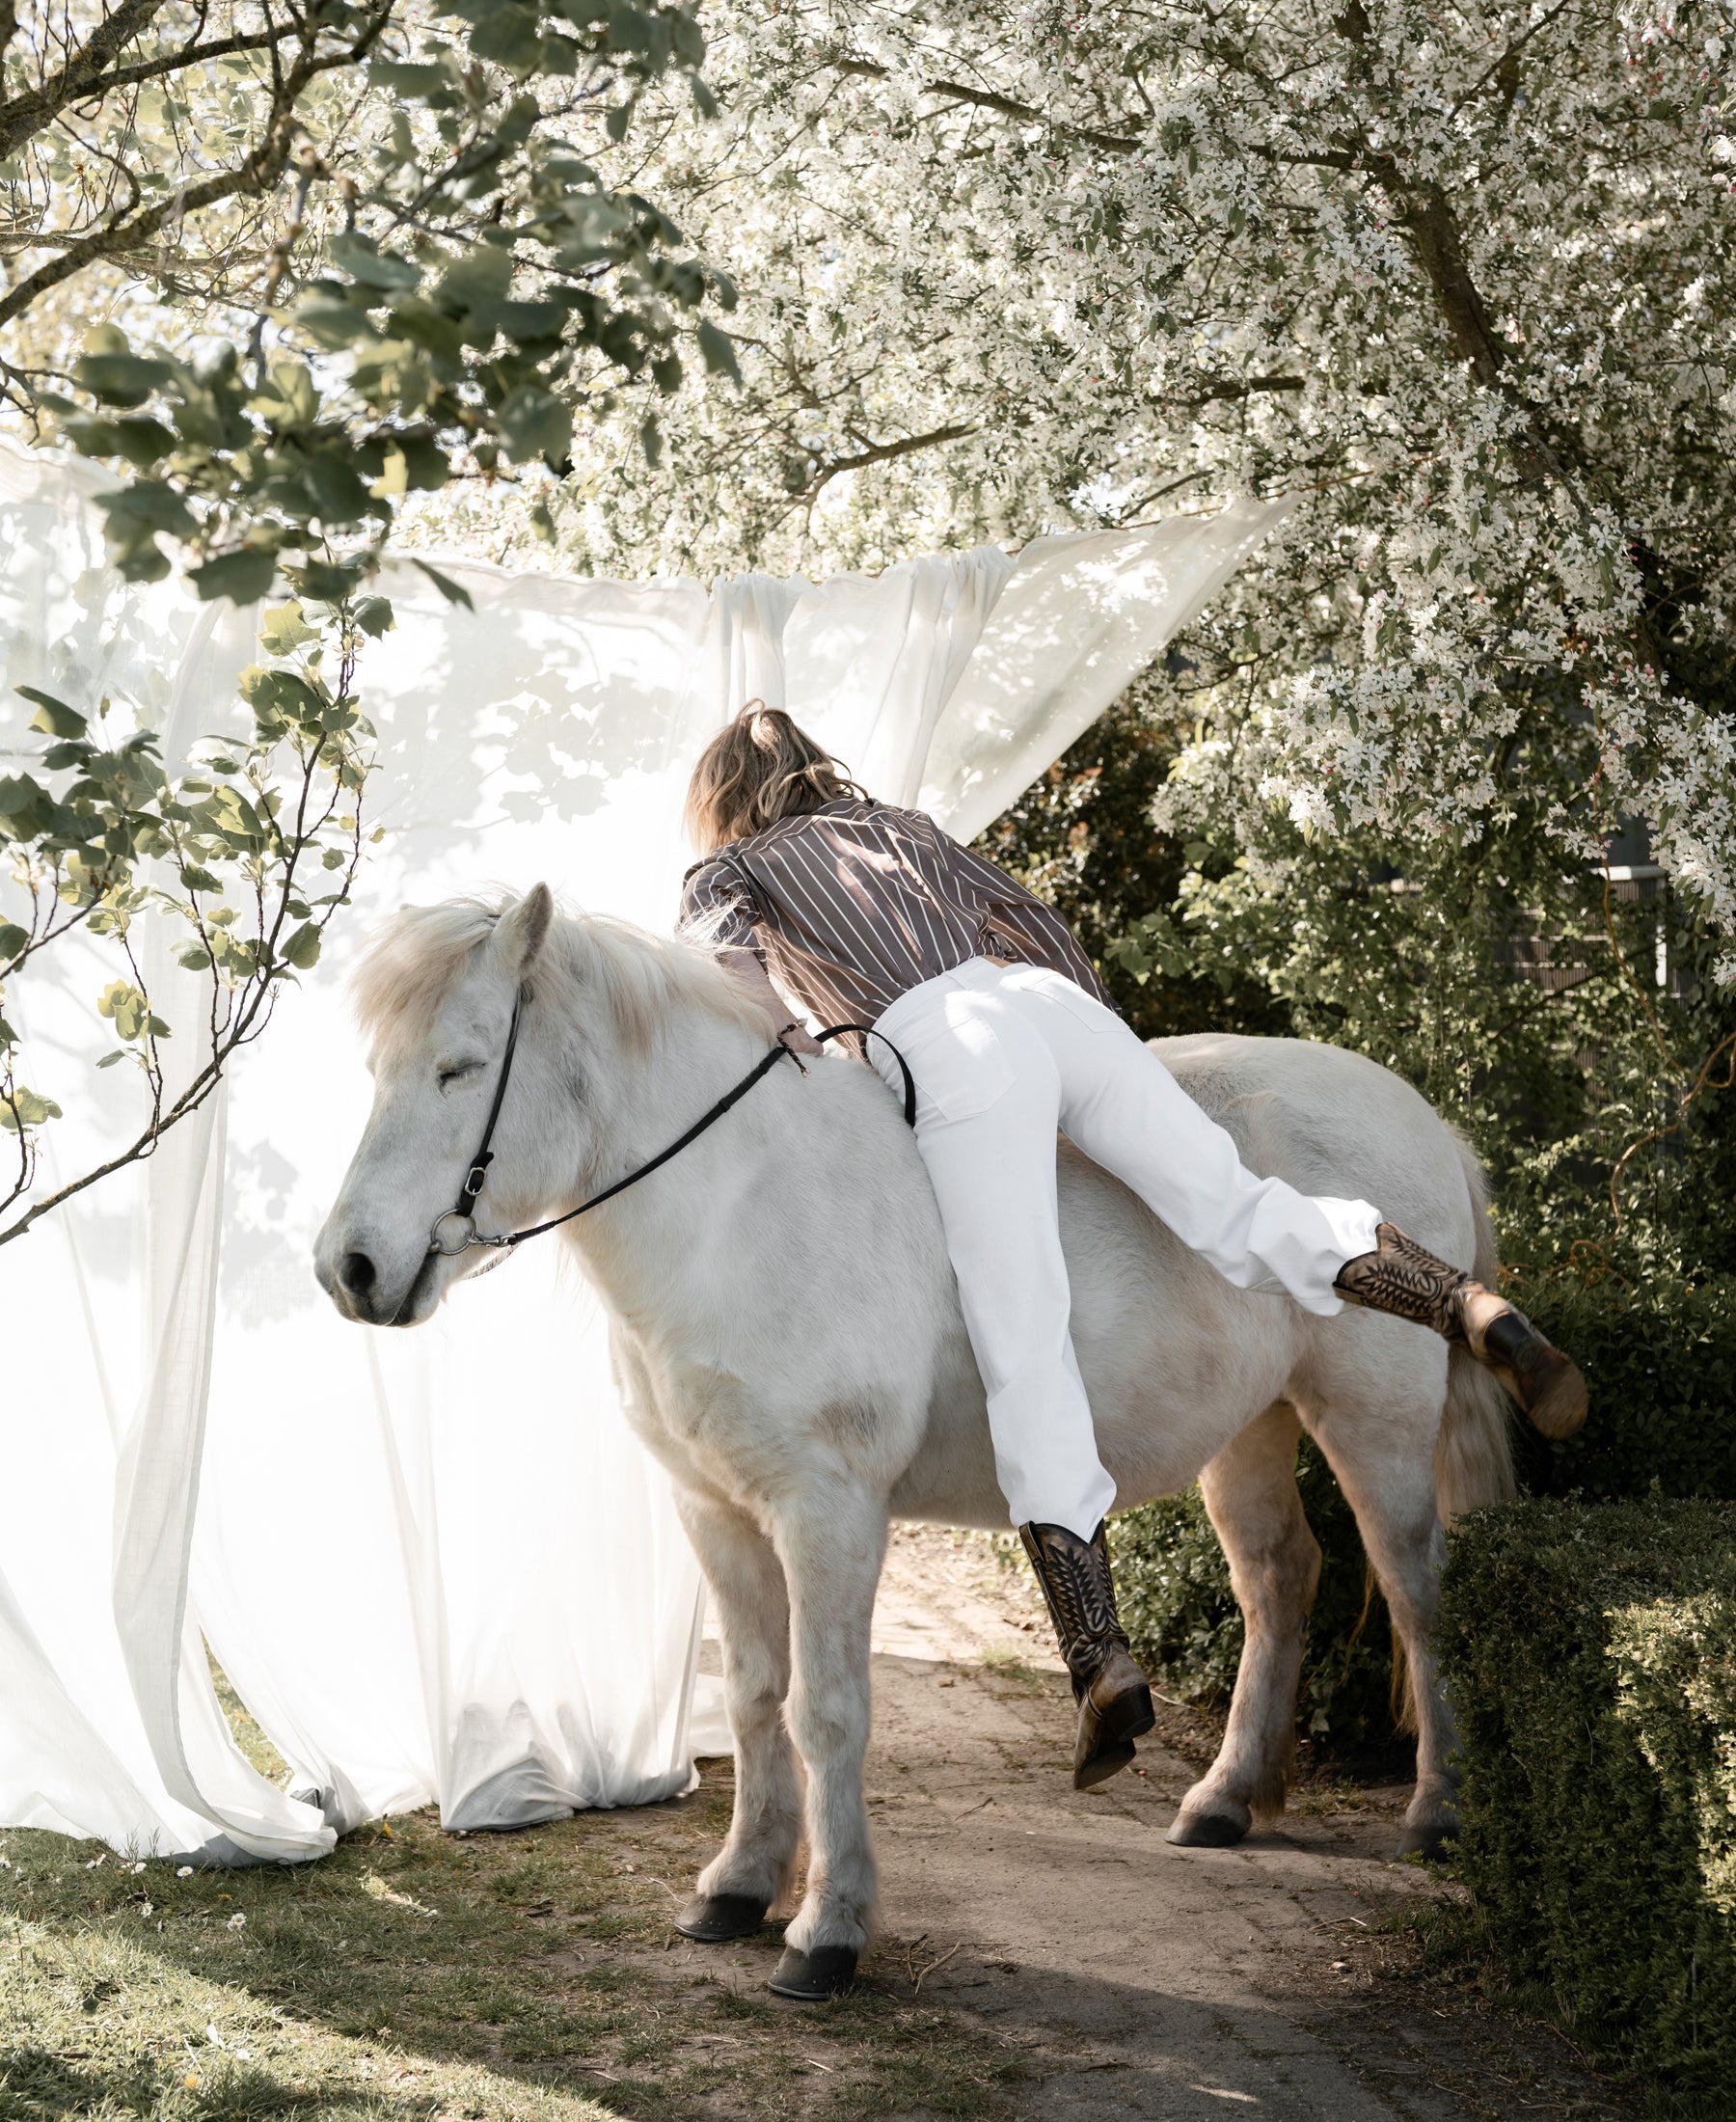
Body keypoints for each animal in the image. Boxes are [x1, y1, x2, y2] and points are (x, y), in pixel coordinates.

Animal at [314, 884, 1514, 1998]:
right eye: (375, 1067)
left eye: (462, 1067)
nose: (349, 1266)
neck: (739, 1207)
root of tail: (1420, 1114)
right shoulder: (716, 1510)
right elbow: (755, 1696)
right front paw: (738, 1884)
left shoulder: (828, 1512)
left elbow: (827, 1710)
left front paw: (827, 1929)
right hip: (1251, 1430)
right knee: (1280, 1581)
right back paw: (1226, 1797)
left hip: (1374, 1422)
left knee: (1420, 1594)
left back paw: (1442, 1808)